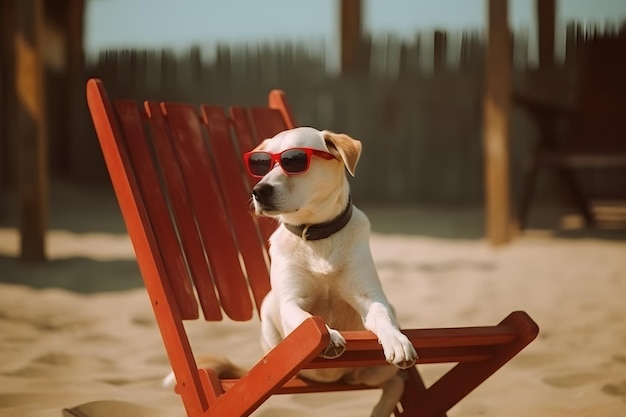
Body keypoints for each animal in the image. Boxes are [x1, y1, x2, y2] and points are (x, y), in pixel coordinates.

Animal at [246, 127, 416, 416]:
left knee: (396, 381)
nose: (258, 190)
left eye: (294, 161)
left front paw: (396, 340)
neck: (316, 235)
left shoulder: (370, 298)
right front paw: (330, 335)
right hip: (270, 310)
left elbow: (383, 317)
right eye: (261, 164)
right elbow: (305, 318)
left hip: (372, 373)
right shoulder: (290, 302)